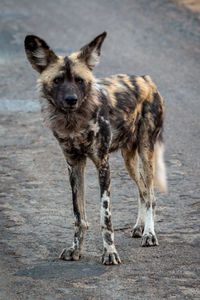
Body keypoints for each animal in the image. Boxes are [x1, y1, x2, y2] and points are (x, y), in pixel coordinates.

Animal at [24, 32, 167, 264]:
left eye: (79, 81)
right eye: (57, 80)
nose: (71, 99)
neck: (74, 122)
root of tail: (147, 79)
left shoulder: (102, 164)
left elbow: (105, 217)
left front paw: (109, 252)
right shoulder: (74, 164)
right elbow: (78, 215)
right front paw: (76, 250)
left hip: (146, 152)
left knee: (151, 194)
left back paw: (149, 234)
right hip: (129, 160)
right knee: (144, 191)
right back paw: (140, 227)